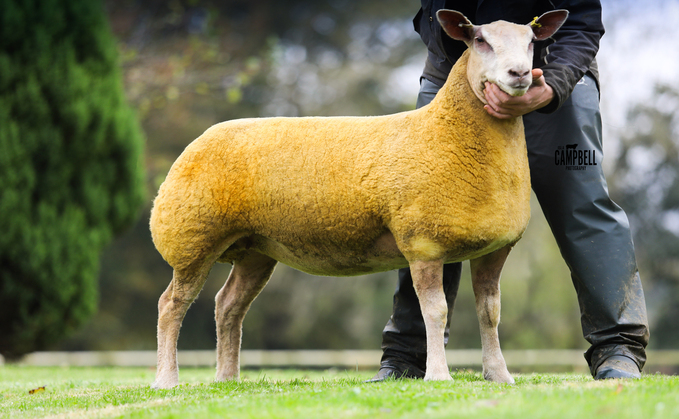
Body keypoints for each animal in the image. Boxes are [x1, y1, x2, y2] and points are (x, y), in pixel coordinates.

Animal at [149, 9, 568, 390]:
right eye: (480, 41)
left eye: (532, 43)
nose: (518, 74)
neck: (446, 131)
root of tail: (201, 138)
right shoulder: (423, 243)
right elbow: (435, 311)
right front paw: (438, 375)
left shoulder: (494, 248)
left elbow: (490, 312)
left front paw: (500, 375)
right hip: (191, 237)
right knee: (171, 304)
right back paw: (167, 380)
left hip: (255, 248)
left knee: (227, 305)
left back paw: (227, 378)